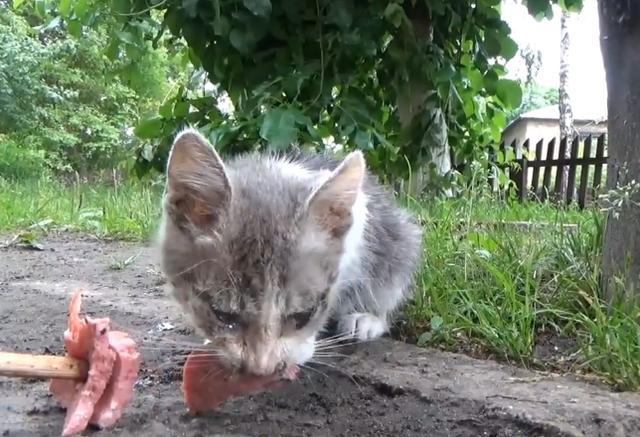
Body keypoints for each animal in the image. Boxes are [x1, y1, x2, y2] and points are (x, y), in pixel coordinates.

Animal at [158, 127, 422, 374]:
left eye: (304, 315)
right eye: (221, 314)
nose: (261, 369)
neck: (271, 176)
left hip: (400, 239)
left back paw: (366, 318)